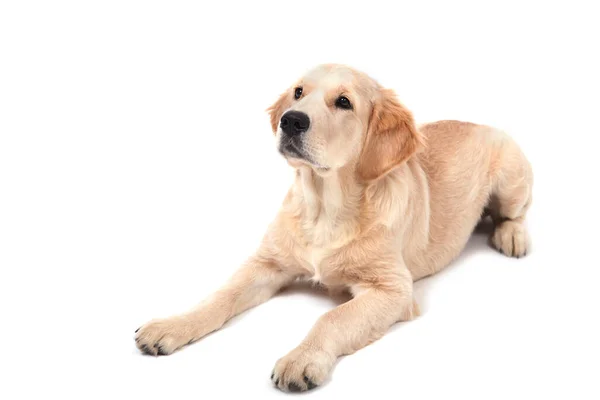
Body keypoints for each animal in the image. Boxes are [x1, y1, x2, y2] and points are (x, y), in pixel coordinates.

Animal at [134, 64, 532, 392]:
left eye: (344, 102)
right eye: (298, 92)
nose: (291, 120)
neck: (324, 207)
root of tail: (480, 123)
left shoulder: (393, 288)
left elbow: (333, 318)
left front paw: (302, 358)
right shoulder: (267, 263)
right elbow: (220, 296)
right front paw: (172, 325)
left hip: (511, 179)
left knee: (516, 212)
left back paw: (511, 235)